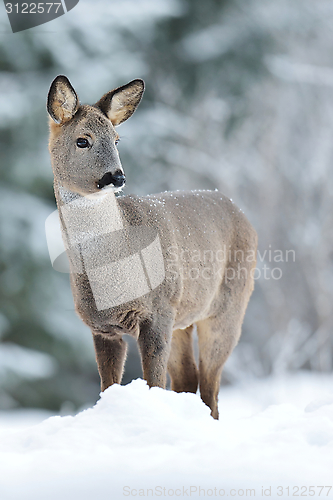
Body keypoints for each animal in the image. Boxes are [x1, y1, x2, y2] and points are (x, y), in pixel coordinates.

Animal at [46, 74, 255, 418]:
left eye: (117, 139)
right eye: (82, 140)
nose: (116, 177)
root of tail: (239, 210)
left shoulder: (159, 310)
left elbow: (154, 384)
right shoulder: (102, 327)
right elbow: (107, 388)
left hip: (228, 306)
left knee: (210, 385)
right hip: (184, 317)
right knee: (188, 377)